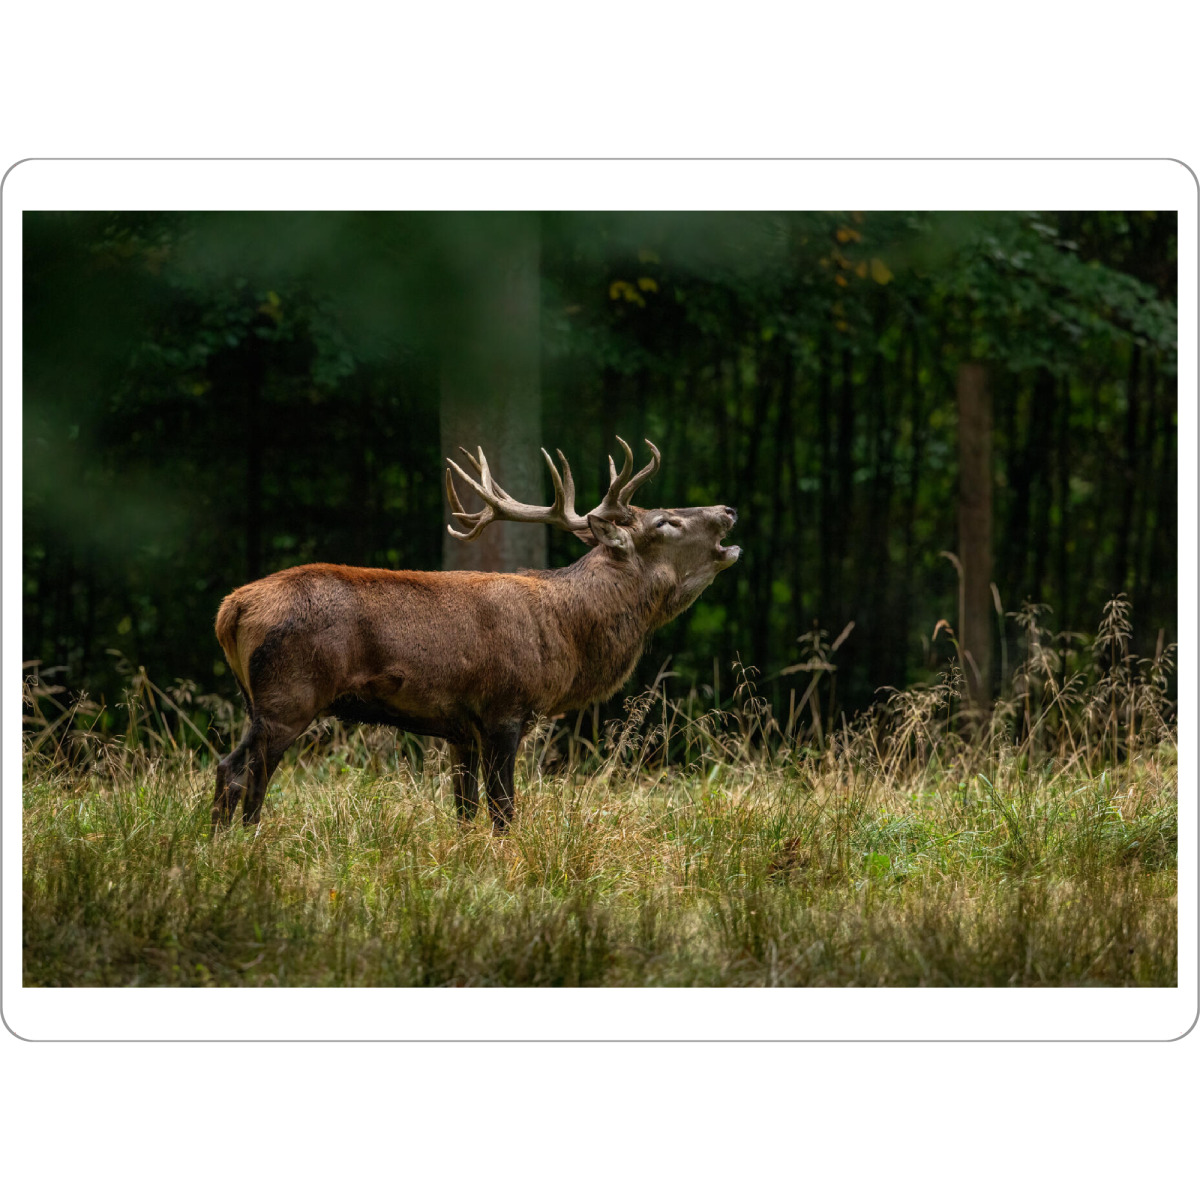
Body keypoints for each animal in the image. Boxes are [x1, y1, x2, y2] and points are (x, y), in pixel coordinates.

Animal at [211, 436, 739, 830]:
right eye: (664, 521)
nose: (728, 510)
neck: (566, 632)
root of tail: (230, 608)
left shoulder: (458, 727)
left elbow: (464, 812)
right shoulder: (504, 709)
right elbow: (503, 810)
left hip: (256, 699)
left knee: (235, 770)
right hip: (290, 694)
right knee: (239, 771)